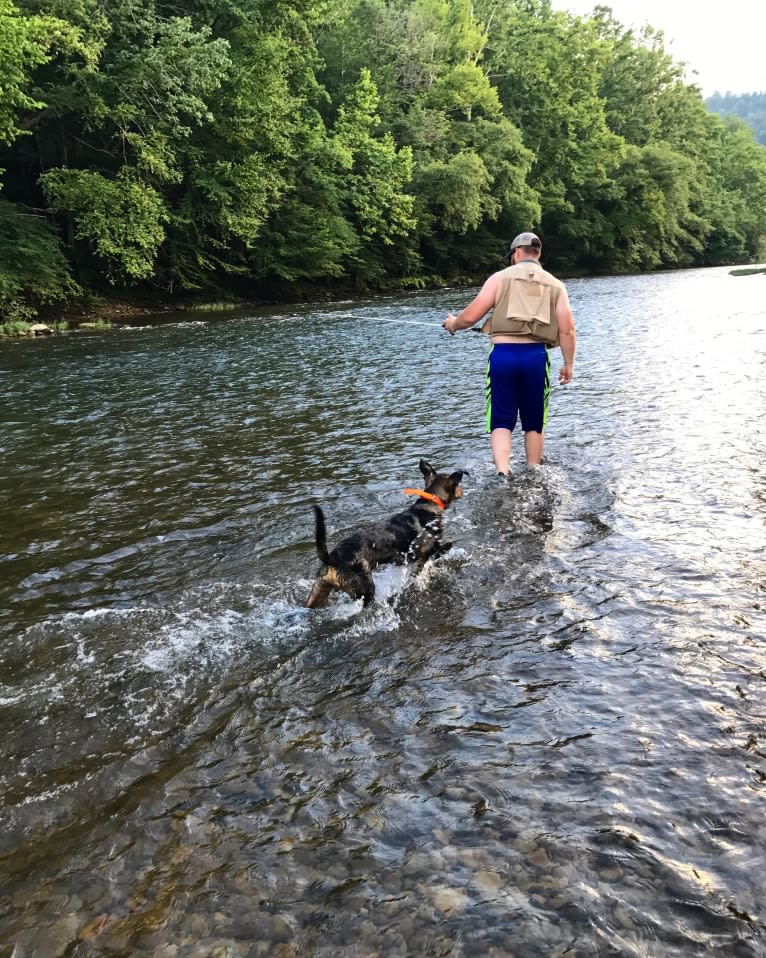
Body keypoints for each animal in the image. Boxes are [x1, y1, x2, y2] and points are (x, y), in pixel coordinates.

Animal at [304, 462, 462, 612]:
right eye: (458, 484)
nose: (462, 491)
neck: (429, 504)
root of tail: (333, 559)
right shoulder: (420, 553)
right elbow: (441, 548)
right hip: (364, 588)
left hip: (317, 591)